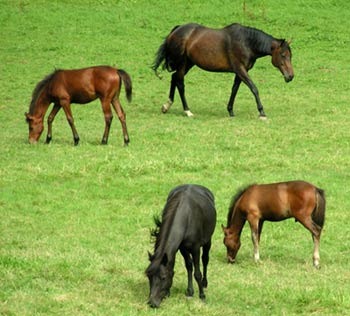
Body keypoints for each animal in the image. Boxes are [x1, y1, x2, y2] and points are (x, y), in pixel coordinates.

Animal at [154, 22, 294, 118]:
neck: (246, 42)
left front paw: (230, 110)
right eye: (283, 55)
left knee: (174, 78)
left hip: (189, 63)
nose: (290, 76)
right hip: (182, 63)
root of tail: (177, 30)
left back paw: (166, 106)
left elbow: (234, 89)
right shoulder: (240, 69)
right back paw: (187, 111)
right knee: (180, 83)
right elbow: (254, 88)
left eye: (290, 55)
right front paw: (262, 112)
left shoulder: (240, 71)